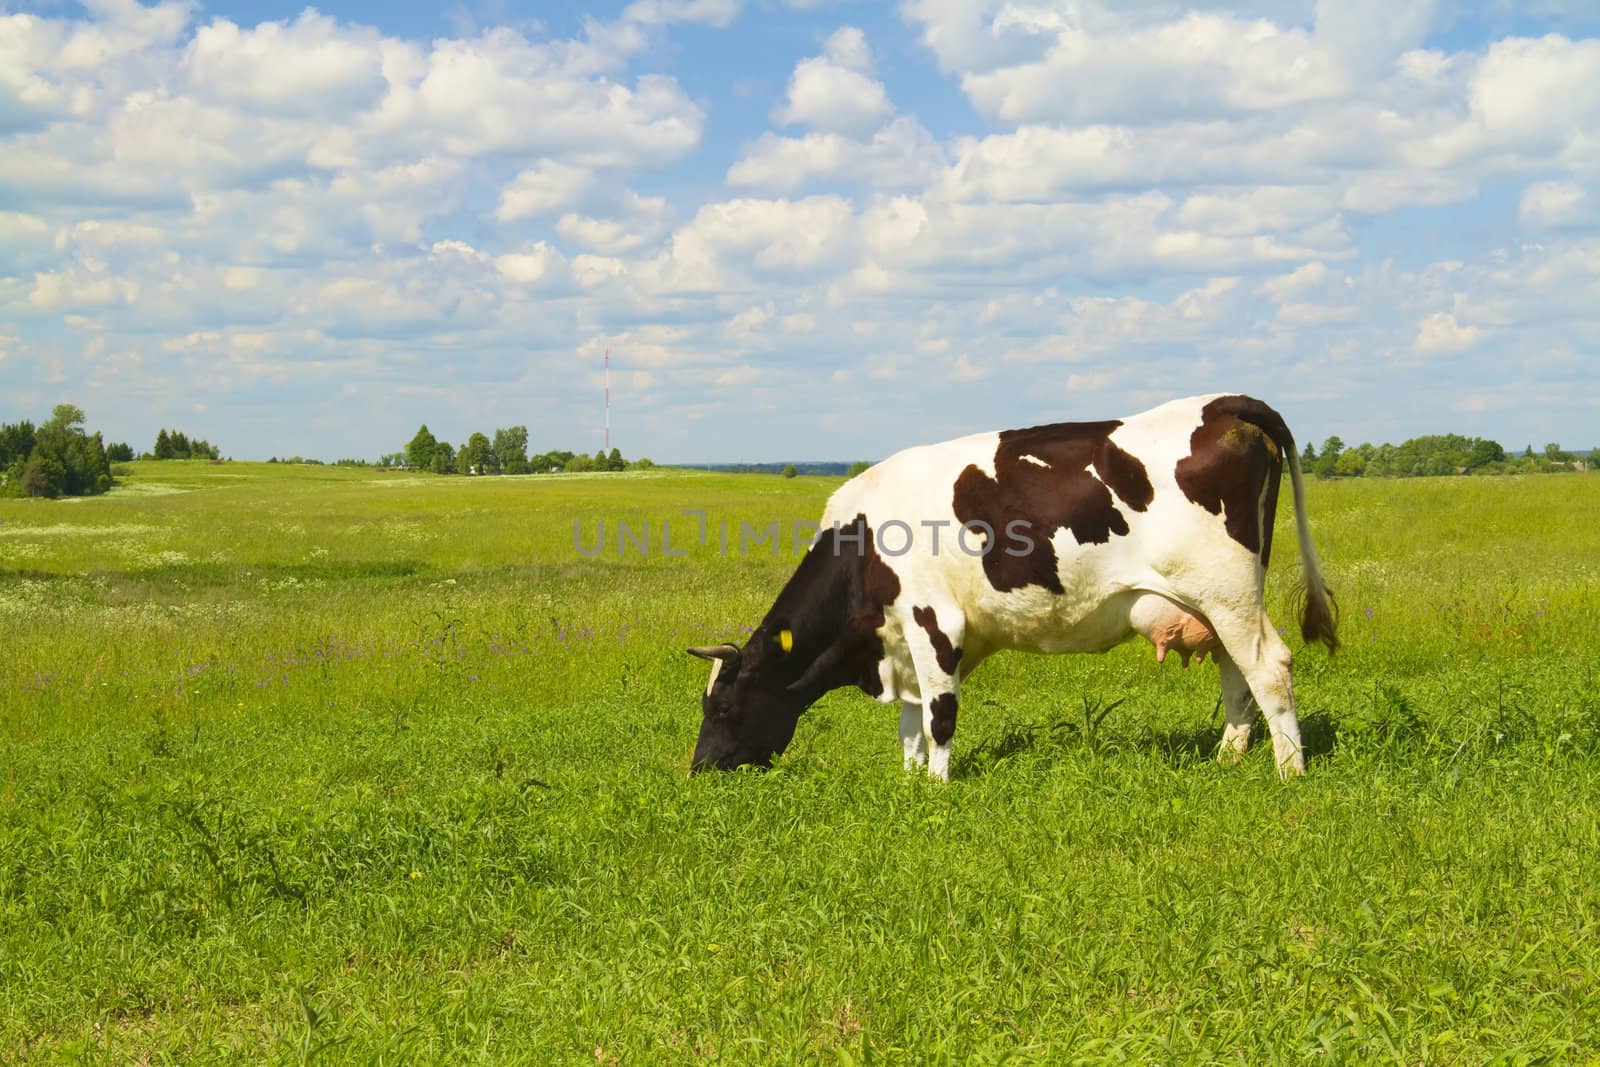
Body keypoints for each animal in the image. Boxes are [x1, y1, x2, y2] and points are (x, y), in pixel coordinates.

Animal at [688, 396, 1337, 780]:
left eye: (722, 706)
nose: (698, 769)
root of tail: (1224, 404)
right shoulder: (900, 638)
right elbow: (912, 719)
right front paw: (908, 779)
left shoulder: (933, 621)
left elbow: (938, 714)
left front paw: (936, 786)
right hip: (1214, 602)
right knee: (1235, 672)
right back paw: (1229, 757)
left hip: (1228, 592)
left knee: (1269, 667)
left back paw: (1289, 771)